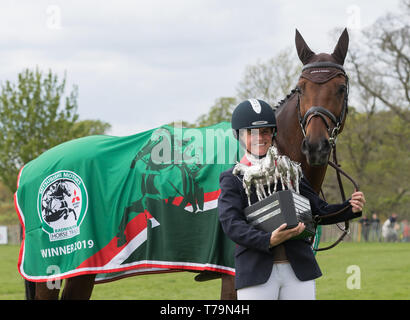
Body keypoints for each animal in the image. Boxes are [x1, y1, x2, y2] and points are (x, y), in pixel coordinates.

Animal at [27, 27, 350, 300]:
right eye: (302, 87)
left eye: (341, 88)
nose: (316, 146)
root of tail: (33, 166)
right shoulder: (233, 277)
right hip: (55, 273)